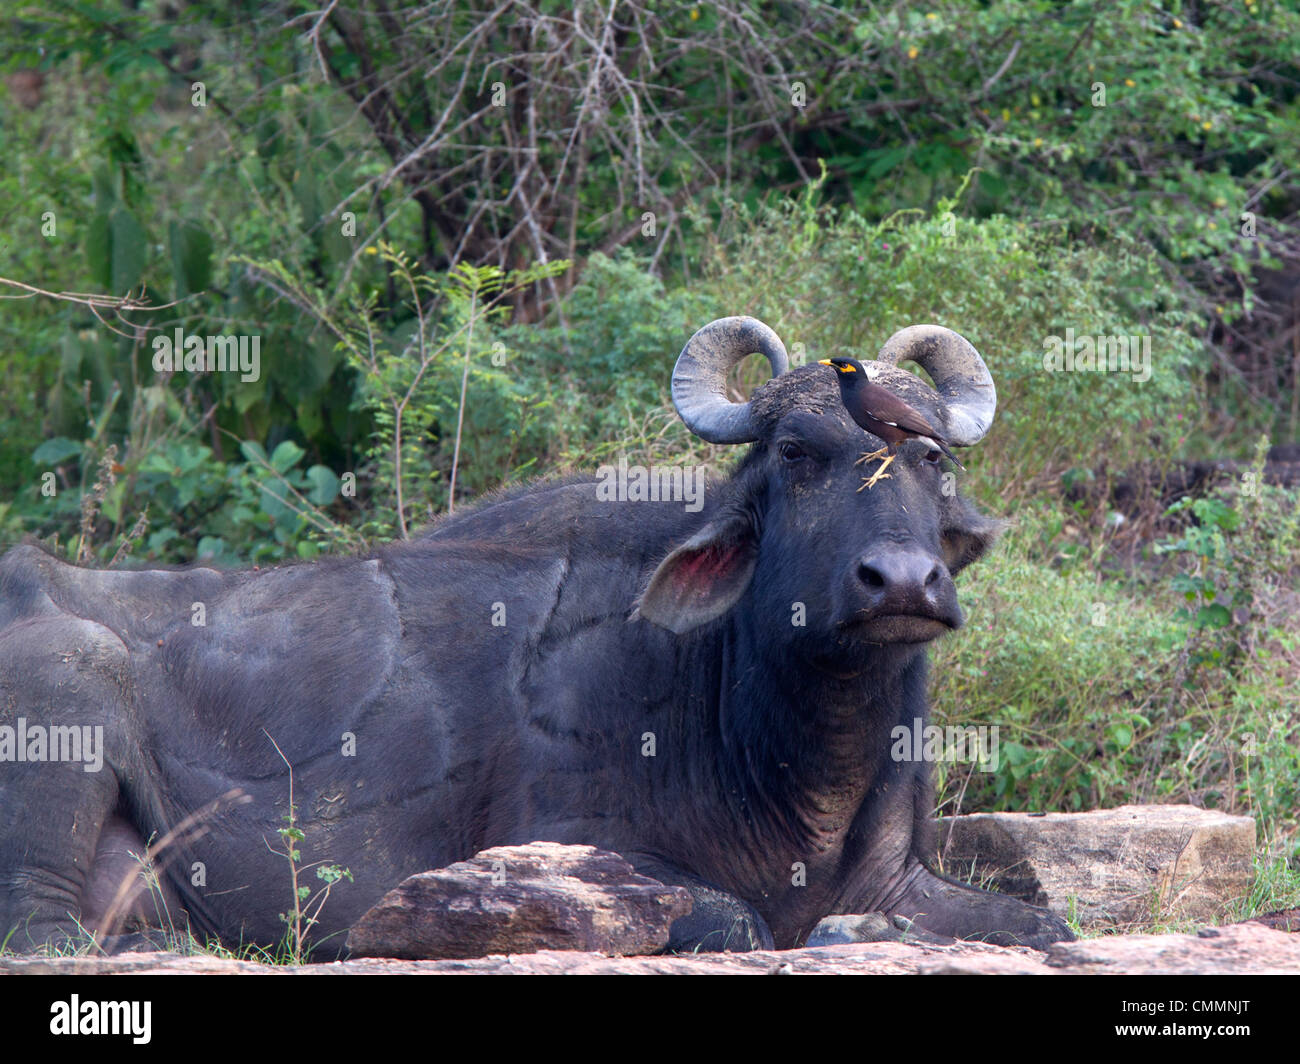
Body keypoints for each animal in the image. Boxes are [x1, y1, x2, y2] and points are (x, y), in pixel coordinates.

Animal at [0, 314, 1071, 952]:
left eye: (932, 458)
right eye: (797, 455)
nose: (903, 581)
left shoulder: (903, 877)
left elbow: (1046, 922)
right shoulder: (565, 849)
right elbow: (743, 920)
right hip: (69, 689)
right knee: (44, 932)